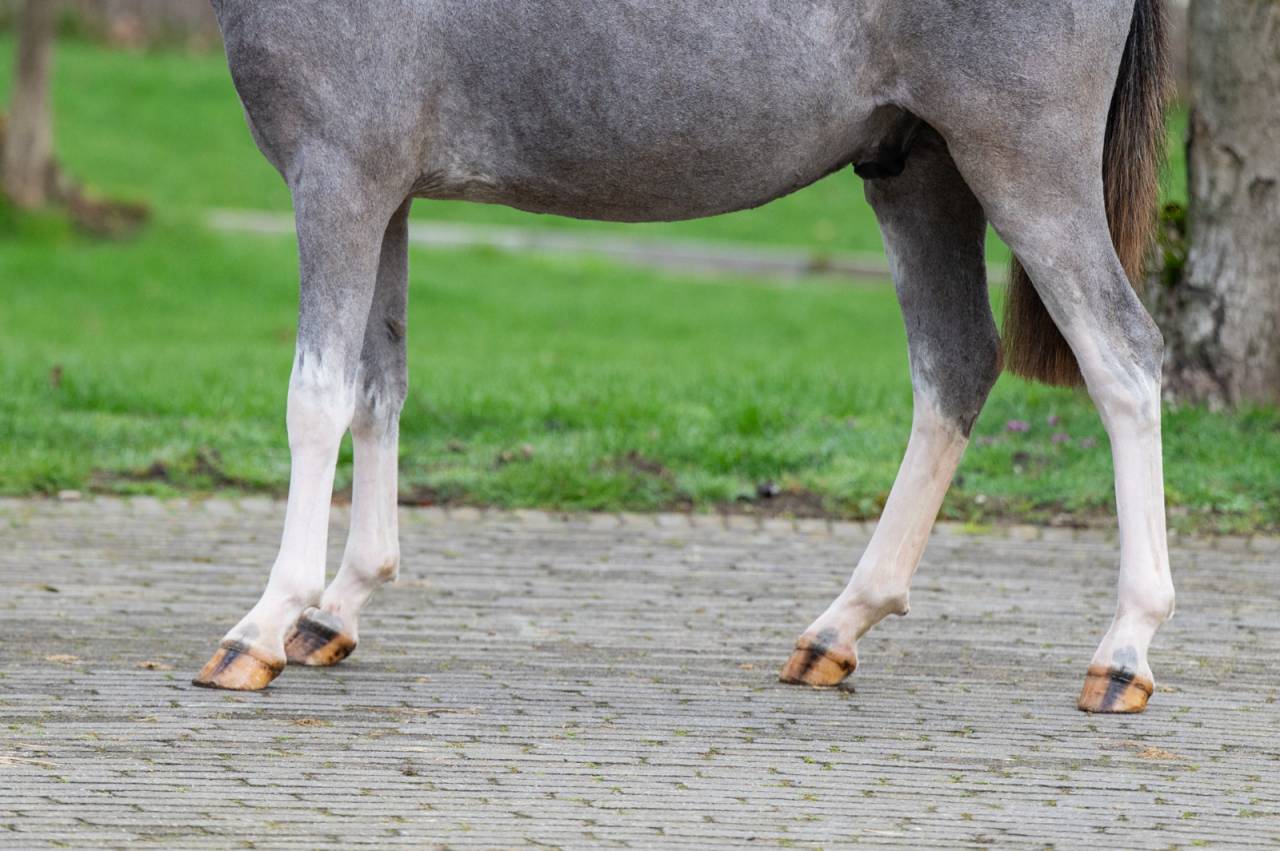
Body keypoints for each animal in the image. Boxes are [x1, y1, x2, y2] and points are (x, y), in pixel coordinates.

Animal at [196, 0, 1174, 714]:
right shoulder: (386, 193)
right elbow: (378, 386)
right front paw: (337, 607)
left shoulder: (339, 176)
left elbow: (317, 397)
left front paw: (263, 625)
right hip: (920, 171)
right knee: (955, 366)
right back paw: (837, 630)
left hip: (1024, 164)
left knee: (1124, 361)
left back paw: (1124, 652)